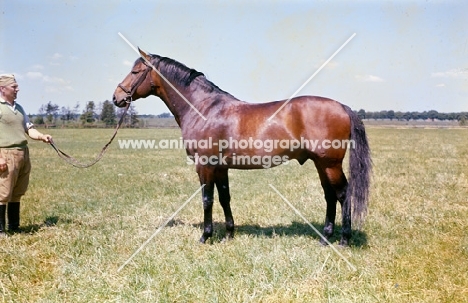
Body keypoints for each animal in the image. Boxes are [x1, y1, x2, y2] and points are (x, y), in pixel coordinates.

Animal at [111, 48, 372, 247]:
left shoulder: (204, 166)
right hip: (321, 164)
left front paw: (205, 236)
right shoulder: (220, 167)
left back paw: (343, 240)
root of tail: (342, 107)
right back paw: (325, 237)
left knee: (342, 194)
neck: (204, 108)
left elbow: (207, 199)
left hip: (330, 164)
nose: (116, 97)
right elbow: (225, 197)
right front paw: (229, 234)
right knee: (329, 195)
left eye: (135, 71)